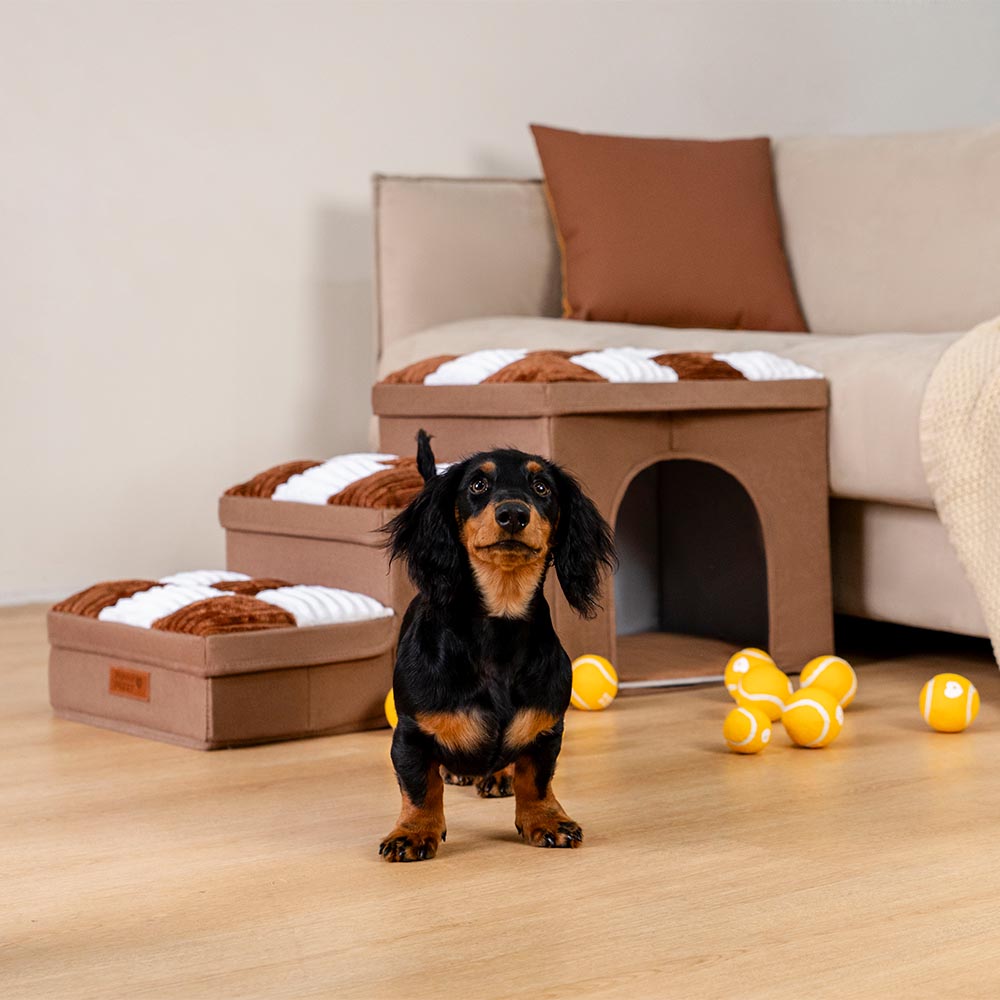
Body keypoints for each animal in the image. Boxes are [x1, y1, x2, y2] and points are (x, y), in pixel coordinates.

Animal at [378, 430, 612, 860]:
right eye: (477, 485)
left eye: (542, 487)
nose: (513, 514)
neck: (499, 626)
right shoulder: (410, 735)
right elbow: (420, 787)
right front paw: (413, 832)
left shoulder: (546, 731)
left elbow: (536, 780)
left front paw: (546, 820)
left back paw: (498, 774)